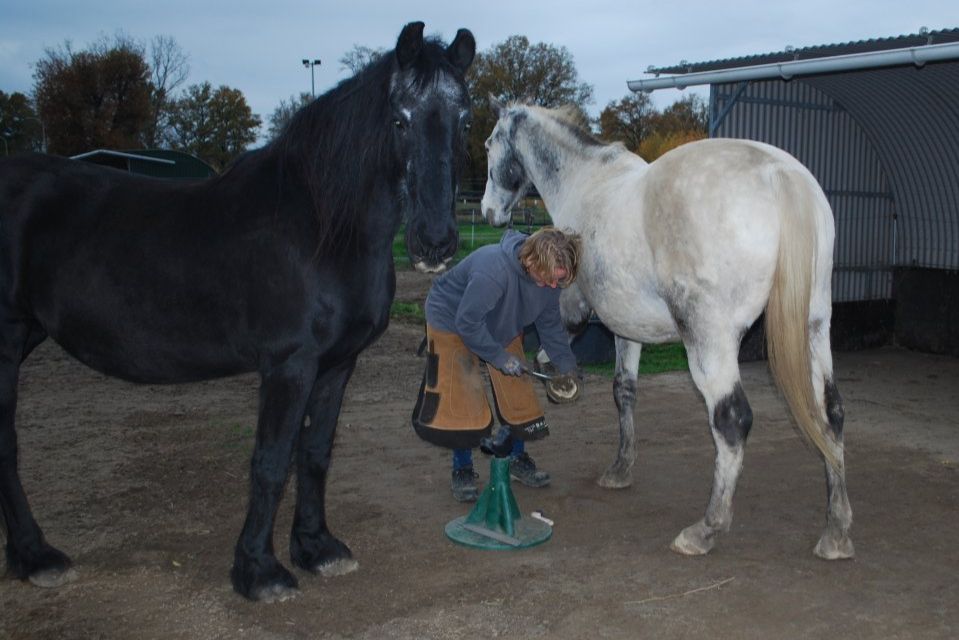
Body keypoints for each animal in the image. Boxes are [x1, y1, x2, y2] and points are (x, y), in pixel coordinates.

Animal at [0, 21, 475, 602]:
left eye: (464, 119)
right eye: (400, 119)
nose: (435, 241)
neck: (319, 227)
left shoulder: (337, 364)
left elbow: (315, 453)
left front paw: (317, 548)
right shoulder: (289, 366)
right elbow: (271, 462)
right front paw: (259, 571)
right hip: (4, 342)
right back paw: (35, 555)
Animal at [480, 100, 853, 560]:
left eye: (489, 144)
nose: (489, 212)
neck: (585, 182)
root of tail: (780, 173)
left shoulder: (572, 309)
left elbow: (553, 348)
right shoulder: (628, 328)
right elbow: (624, 391)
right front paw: (620, 469)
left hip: (709, 340)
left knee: (732, 419)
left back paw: (705, 529)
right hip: (814, 326)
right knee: (831, 412)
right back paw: (836, 530)